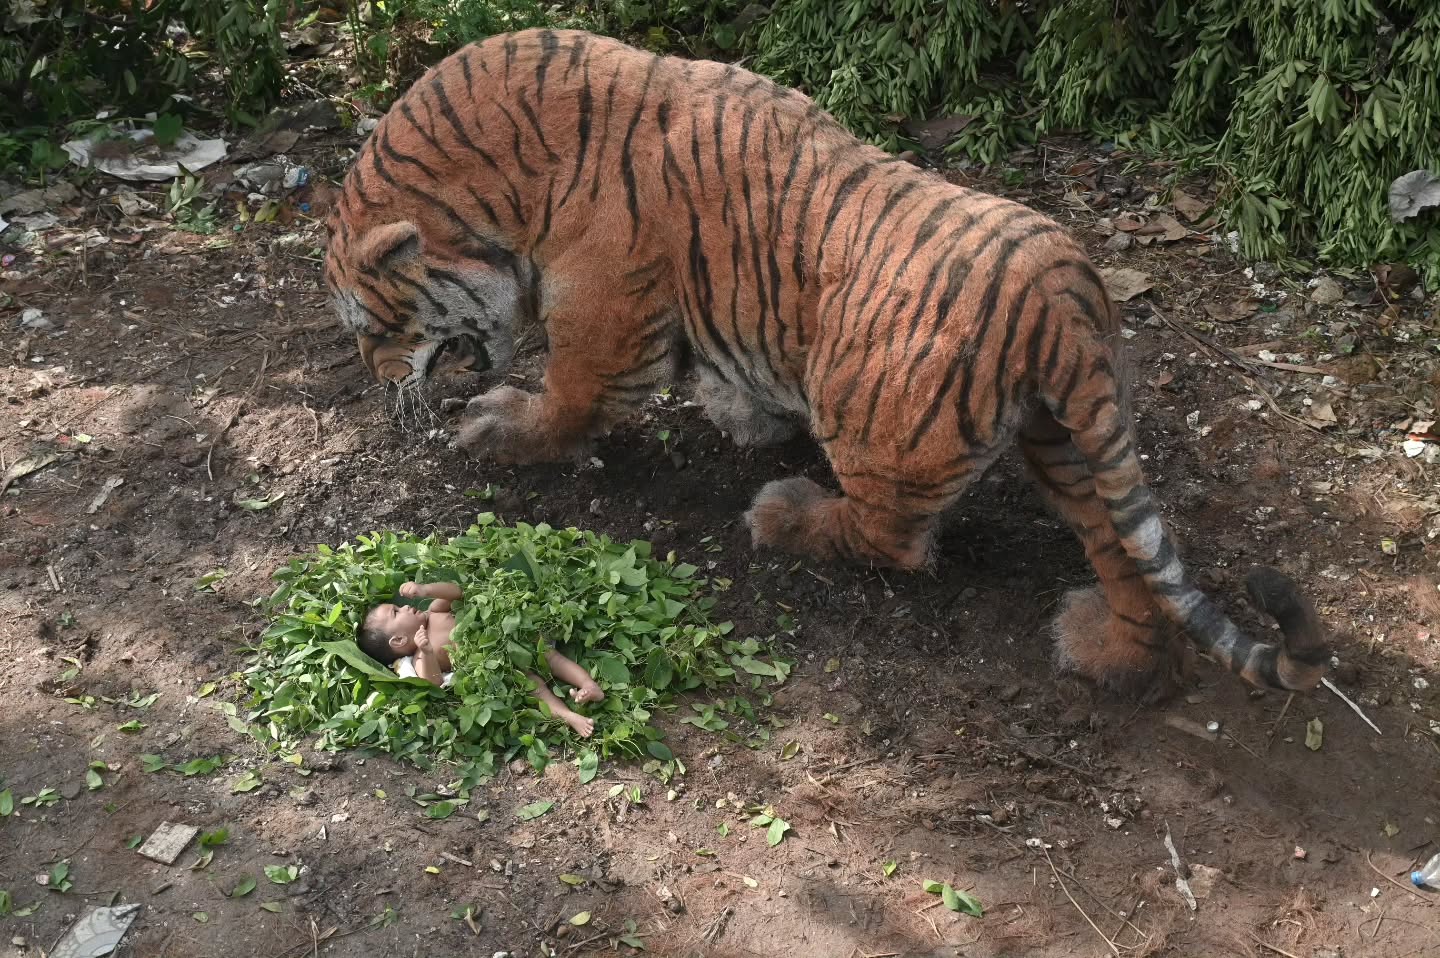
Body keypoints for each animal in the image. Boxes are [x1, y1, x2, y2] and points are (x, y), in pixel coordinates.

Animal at [322, 29, 1328, 701]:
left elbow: (566, 402)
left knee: (896, 540)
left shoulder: (603, 324)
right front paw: (745, 414)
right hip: (1069, 438)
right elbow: (721, 372)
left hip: (871, 408)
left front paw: (497, 426)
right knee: (1125, 553)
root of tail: (1063, 302)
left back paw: (786, 513)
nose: (374, 382)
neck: (506, 183)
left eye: (370, 325)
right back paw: (1104, 645)